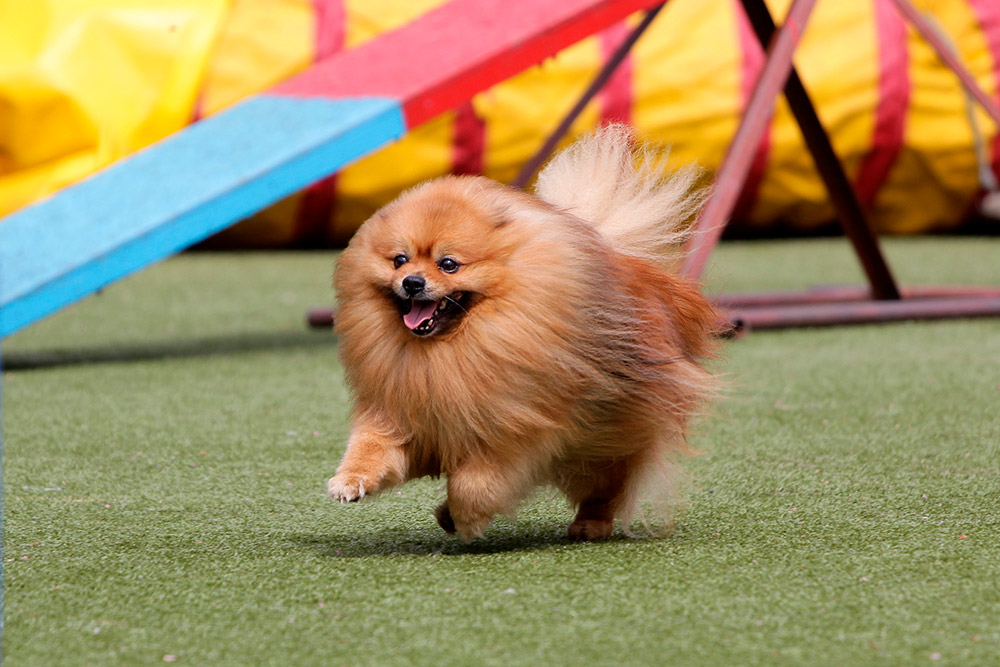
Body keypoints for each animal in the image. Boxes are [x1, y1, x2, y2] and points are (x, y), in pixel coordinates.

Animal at [326, 126, 720, 544]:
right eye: (399, 260)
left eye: (448, 264)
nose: (412, 282)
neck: (448, 350)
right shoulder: (398, 413)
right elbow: (370, 448)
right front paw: (350, 481)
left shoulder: (516, 435)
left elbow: (474, 484)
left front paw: (465, 518)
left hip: (605, 439)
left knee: (608, 485)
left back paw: (589, 525)